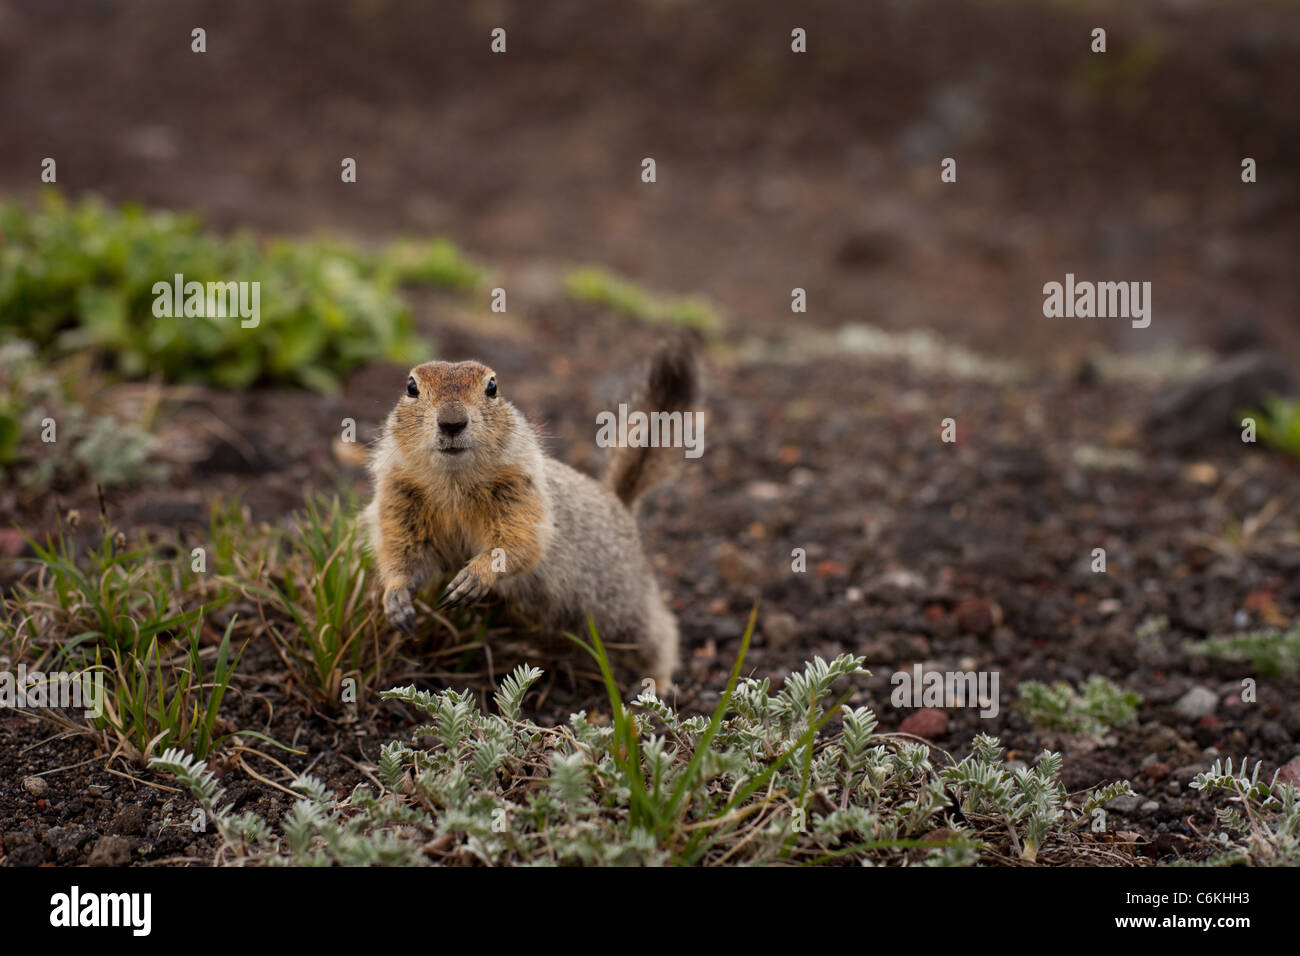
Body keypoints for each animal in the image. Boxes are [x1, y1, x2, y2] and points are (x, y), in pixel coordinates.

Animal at [361, 340, 696, 691]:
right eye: (411, 387)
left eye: (492, 387)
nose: (452, 422)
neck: (453, 482)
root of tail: (620, 504)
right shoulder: (398, 498)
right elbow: (399, 549)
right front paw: (395, 598)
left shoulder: (520, 492)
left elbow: (519, 541)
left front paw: (474, 576)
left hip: (623, 605)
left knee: (660, 633)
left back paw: (659, 682)